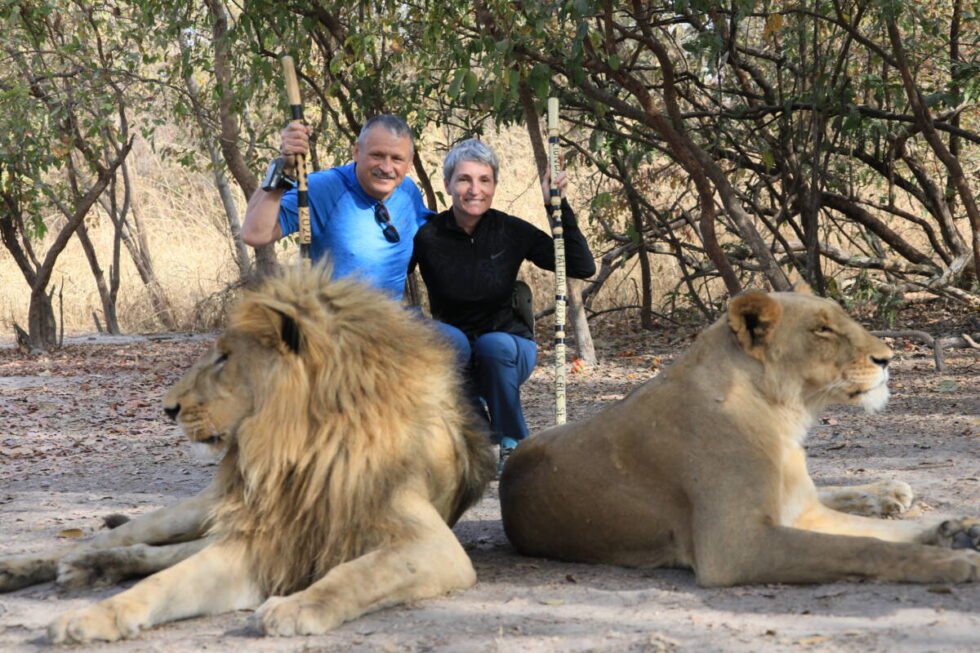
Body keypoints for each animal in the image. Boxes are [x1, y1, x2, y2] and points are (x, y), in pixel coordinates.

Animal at [40, 266, 498, 640]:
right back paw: (64, 564)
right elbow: (166, 582)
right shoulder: (268, 540)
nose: (168, 409)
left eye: (224, 357)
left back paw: (94, 567)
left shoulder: (433, 546)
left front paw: (297, 607)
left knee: (156, 553)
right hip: (203, 509)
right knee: (120, 538)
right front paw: (93, 616)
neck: (300, 445)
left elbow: (356, 573)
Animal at [502, 288, 976, 584]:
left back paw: (886, 493)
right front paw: (956, 558)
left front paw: (957, 531)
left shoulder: (792, 517)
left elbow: (872, 537)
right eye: (822, 329)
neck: (783, 417)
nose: (888, 358)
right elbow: (864, 549)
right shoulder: (737, 547)